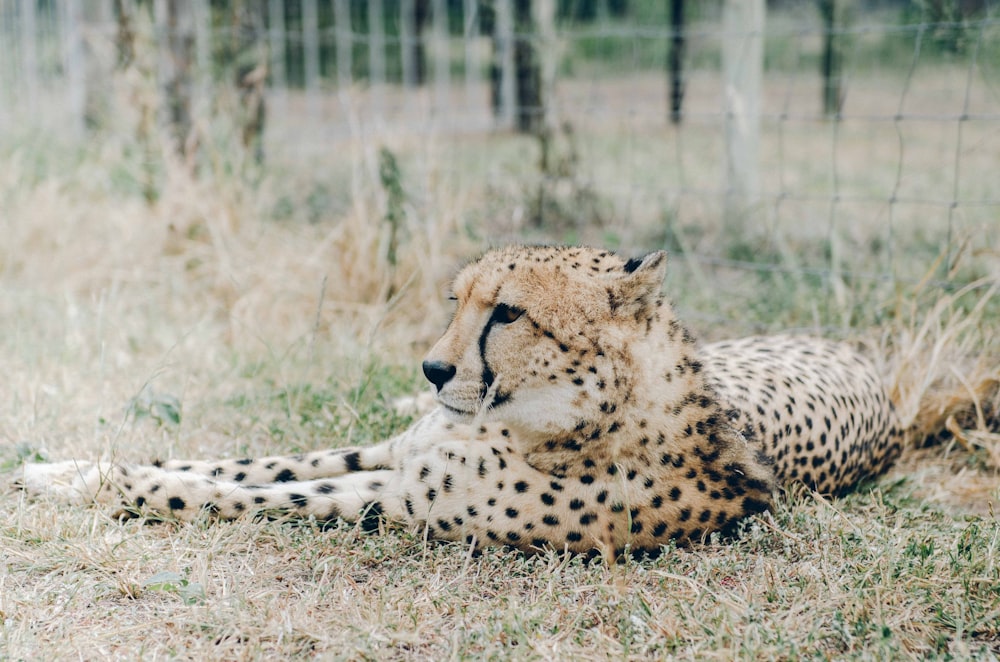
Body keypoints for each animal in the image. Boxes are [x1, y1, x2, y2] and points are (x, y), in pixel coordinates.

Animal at [17, 246, 908, 556]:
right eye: (460, 299)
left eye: (507, 313)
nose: (433, 369)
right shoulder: (391, 453)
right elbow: (240, 463)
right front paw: (65, 466)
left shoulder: (400, 499)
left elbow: (228, 492)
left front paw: (96, 484)